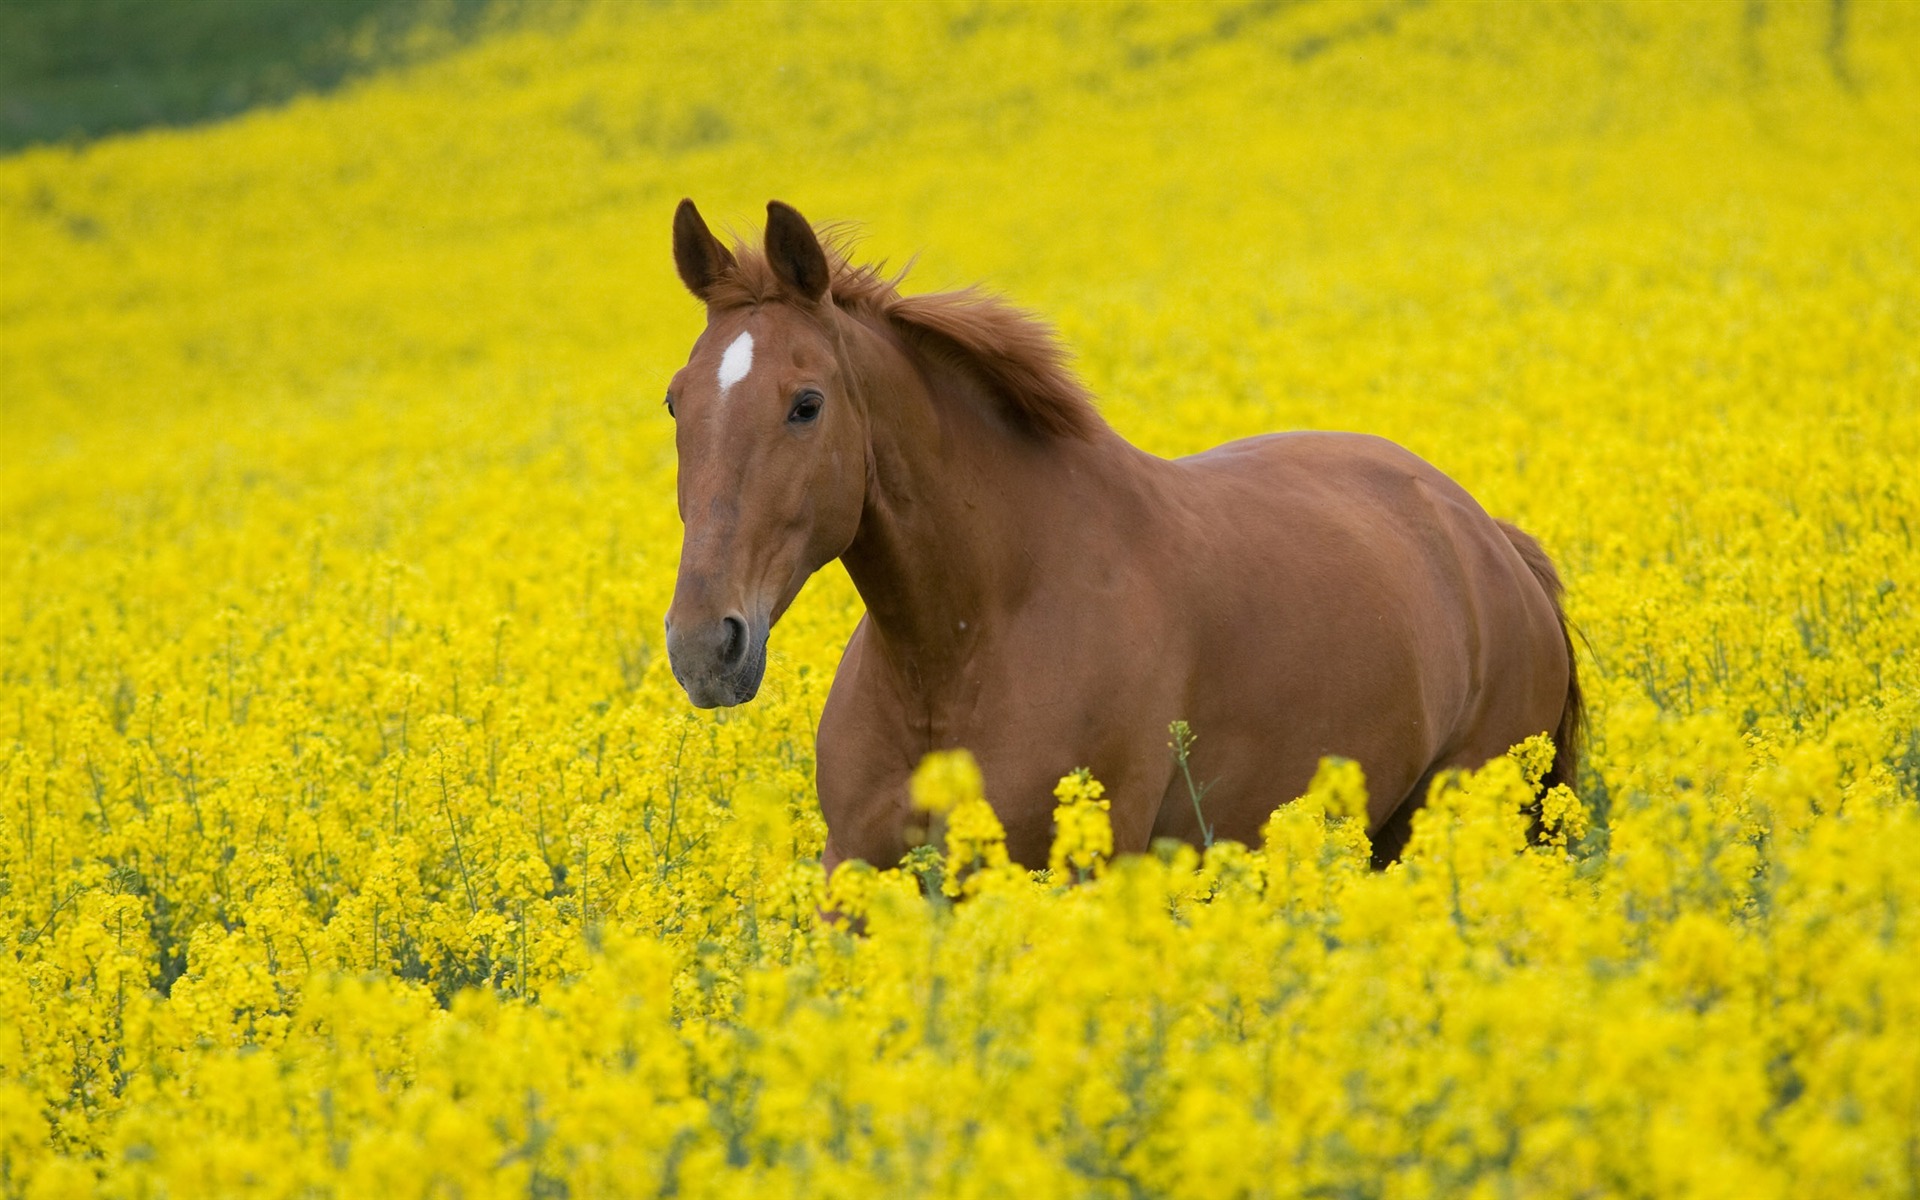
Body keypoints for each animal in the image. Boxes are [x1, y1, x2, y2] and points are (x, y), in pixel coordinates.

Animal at [660, 198, 1574, 871]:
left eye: (806, 404)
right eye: (676, 400)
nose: (705, 647)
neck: (961, 649)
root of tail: (1490, 539)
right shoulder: (855, 874)